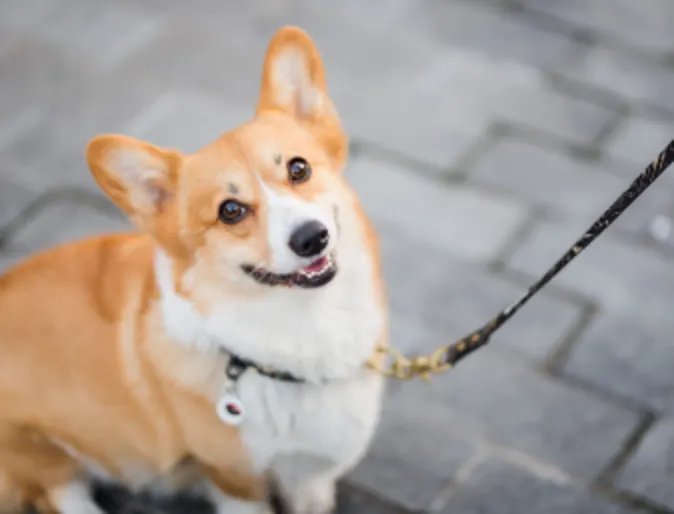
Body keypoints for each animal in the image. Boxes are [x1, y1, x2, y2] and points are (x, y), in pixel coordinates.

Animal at [0, 27, 388, 512]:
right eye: (230, 211)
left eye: (299, 169)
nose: (310, 237)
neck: (304, 329)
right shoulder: (234, 479)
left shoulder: (310, 476)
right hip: (40, 452)